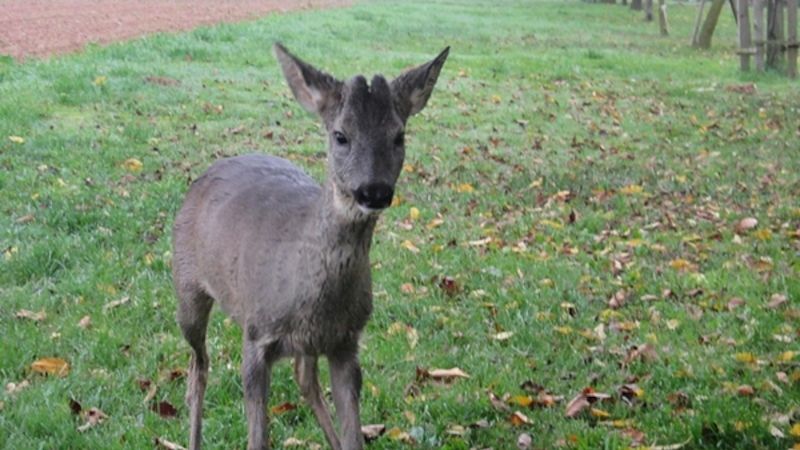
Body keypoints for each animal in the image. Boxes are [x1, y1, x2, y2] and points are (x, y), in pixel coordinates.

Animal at [172, 43, 446, 450]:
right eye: (340, 135)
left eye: (399, 136)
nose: (374, 191)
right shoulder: (256, 334)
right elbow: (257, 438)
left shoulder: (347, 341)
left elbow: (352, 433)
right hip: (186, 285)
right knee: (197, 369)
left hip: (307, 345)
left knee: (304, 377)